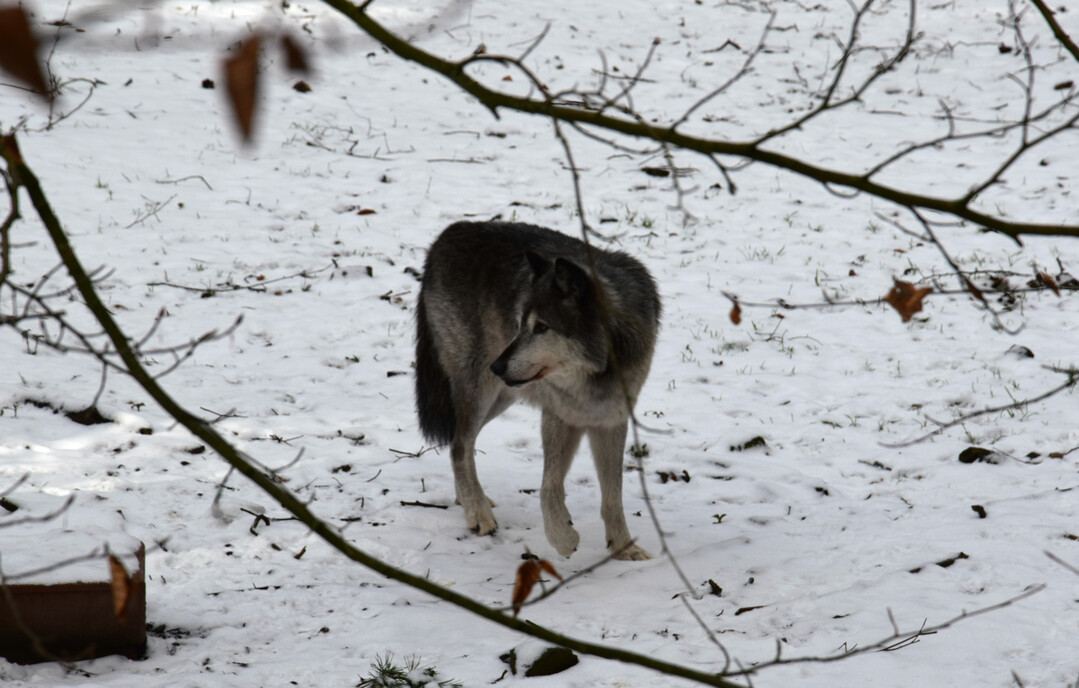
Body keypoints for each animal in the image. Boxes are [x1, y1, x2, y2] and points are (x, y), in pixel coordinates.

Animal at [414, 221, 660, 560]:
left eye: (542, 328)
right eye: (520, 324)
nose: (497, 366)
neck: (596, 372)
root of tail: (448, 232)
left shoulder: (608, 420)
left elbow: (612, 496)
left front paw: (624, 548)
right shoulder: (556, 414)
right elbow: (548, 487)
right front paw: (563, 537)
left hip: (502, 397)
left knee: (457, 441)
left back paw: (469, 500)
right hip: (481, 391)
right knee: (460, 446)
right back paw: (478, 513)